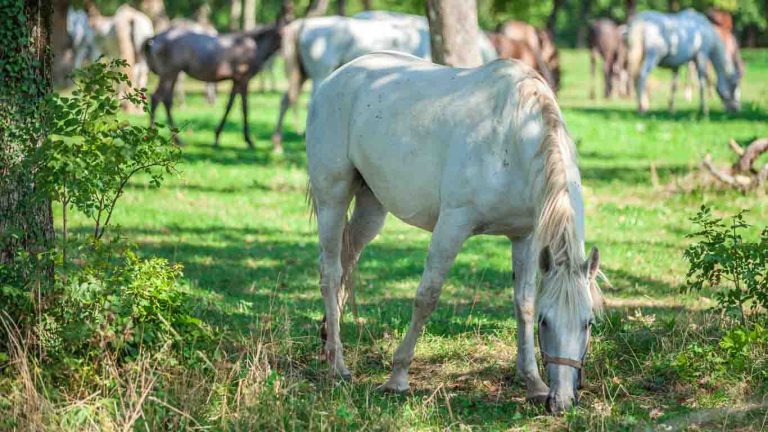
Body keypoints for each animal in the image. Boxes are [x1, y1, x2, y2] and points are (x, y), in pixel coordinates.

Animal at [144, 5, 291, 148]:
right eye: (281, 32)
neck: (257, 47)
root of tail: (154, 39)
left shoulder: (236, 80)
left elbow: (229, 105)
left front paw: (217, 136)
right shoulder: (244, 77)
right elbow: (244, 107)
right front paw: (248, 140)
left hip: (174, 72)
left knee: (166, 100)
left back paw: (177, 139)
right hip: (169, 72)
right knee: (156, 97)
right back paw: (154, 136)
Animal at [306, 51, 603, 414]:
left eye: (588, 322)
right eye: (547, 322)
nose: (561, 401)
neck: (513, 136)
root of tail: (339, 76)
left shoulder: (526, 237)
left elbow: (523, 303)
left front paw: (533, 382)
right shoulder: (452, 225)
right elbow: (427, 296)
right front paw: (397, 377)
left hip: (371, 205)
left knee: (348, 257)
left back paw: (327, 336)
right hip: (332, 197)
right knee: (331, 271)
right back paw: (338, 364)